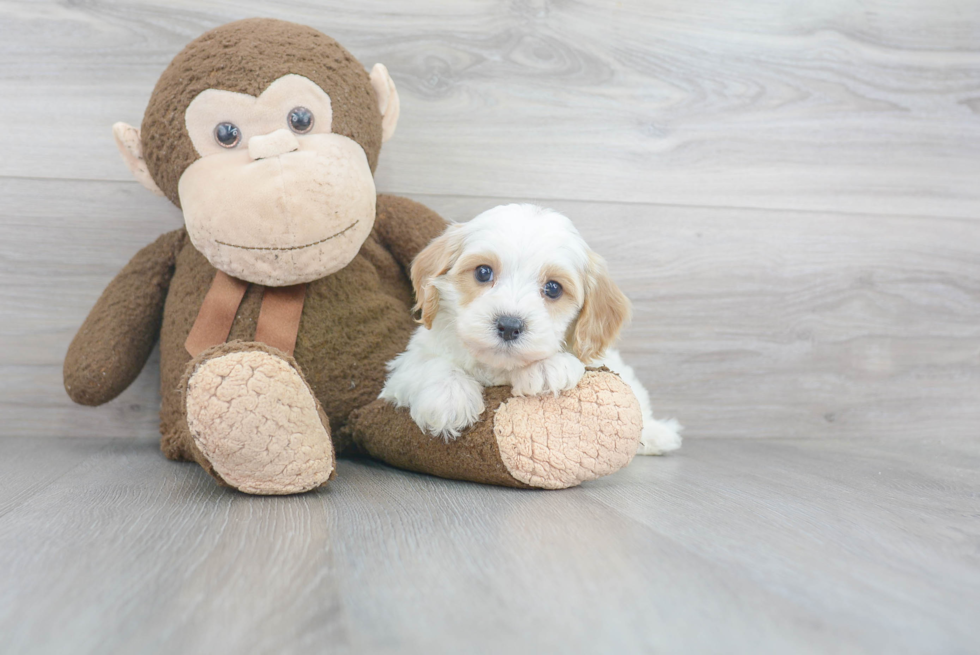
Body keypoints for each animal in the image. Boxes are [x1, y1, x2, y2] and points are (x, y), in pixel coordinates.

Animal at [380, 205, 680, 456]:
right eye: (483, 272)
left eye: (553, 288)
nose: (509, 326)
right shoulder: (404, 366)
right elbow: (429, 363)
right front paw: (449, 397)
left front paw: (548, 367)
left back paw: (659, 435)